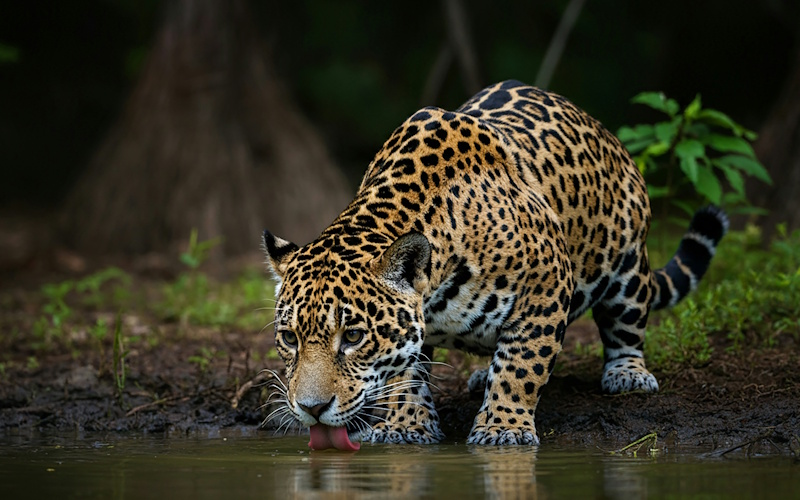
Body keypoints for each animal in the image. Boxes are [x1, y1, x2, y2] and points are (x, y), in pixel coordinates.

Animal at [262, 80, 728, 448]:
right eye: (288, 339)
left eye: (354, 336)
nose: (311, 408)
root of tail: (603, 132)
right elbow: (403, 372)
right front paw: (406, 425)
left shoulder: (546, 288)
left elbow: (524, 366)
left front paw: (503, 428)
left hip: (627, 263)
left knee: (625, 324)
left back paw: (628, 374)